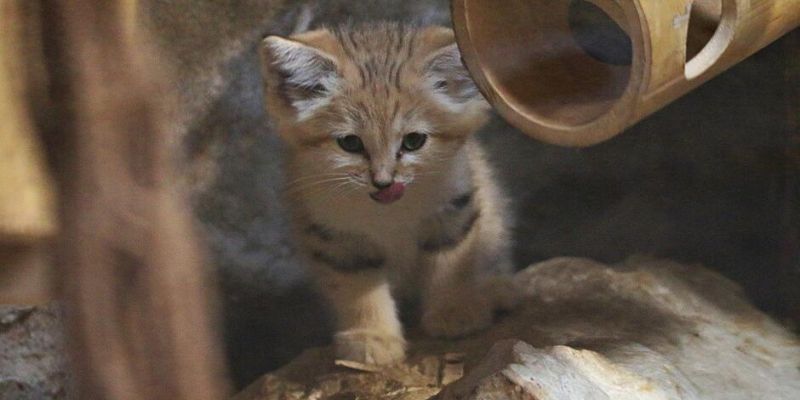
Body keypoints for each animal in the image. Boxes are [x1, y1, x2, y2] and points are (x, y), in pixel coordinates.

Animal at [260, 22, 516, 366]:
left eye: (413, 141)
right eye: (350, 143)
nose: (383, 182)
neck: (390, 215)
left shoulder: (453, 211)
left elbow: (451, 265)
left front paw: (455, 310)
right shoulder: (337, 241)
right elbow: (360, 291)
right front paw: (372, 336)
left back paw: (495, 287)